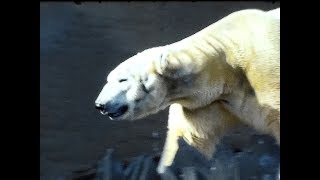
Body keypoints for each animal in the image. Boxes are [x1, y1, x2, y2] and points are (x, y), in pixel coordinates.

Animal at [94, 8, 278, 174]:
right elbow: (189, 139)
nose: (100, 104)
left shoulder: (264, 70)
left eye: (122, 80)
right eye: (108, 80)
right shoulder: (207, 104)